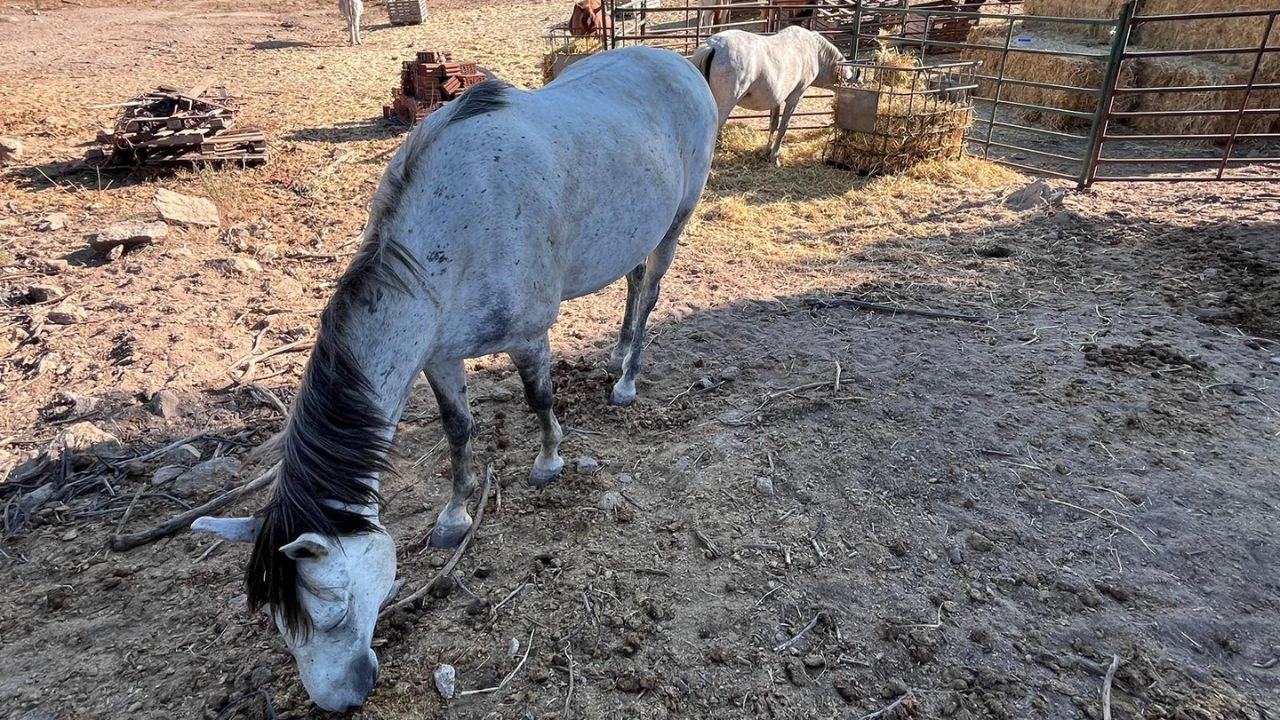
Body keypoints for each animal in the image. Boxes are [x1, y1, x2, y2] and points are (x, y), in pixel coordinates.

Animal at [186, 46, 721, 712]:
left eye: (334, 612)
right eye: (281, 622)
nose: (342, 700)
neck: (458, 225)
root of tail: (682, 61)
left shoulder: (528, 336)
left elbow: (539, 397)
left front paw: (548, 462)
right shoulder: (438, 357)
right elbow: (458, 431)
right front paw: (454, 518)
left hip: (677, 220)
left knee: (649, 291)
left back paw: (627, 380)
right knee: (631, 282)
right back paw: (617, 354)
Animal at [691, 25, 849, 165]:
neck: (815, 51)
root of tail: (712, 46)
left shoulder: (776, 100)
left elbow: (774, 124)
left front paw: (767, 151)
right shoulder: (795, 97)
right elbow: (784, 126)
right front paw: (775, 157)